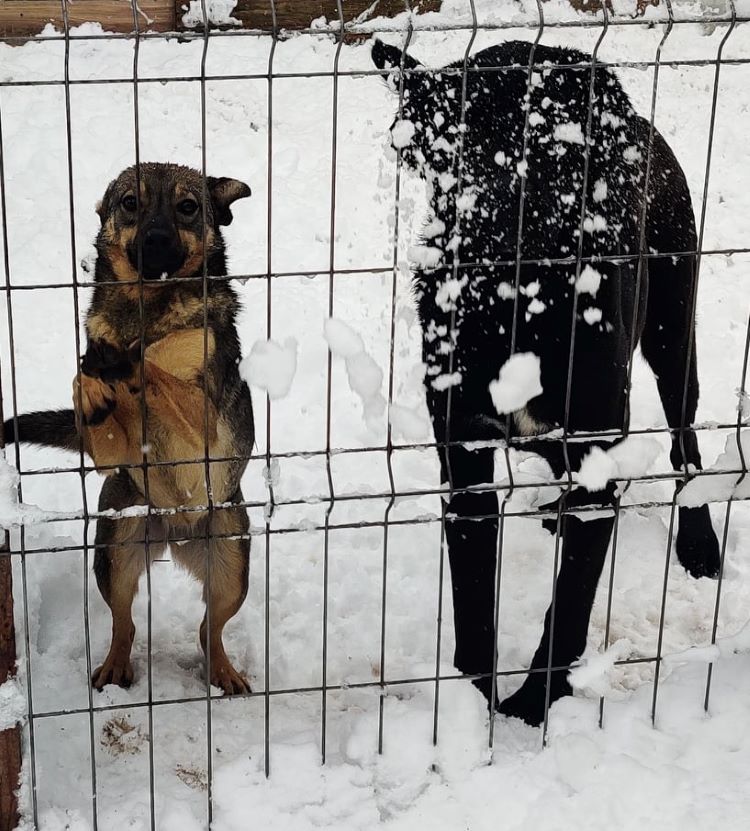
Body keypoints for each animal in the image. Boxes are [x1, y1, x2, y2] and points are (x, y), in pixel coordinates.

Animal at [2, 162, 256, 696]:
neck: (147, 309)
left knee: (210, 629)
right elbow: (85, 386)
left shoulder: (205, 419)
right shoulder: (110, 452)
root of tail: (175, 532)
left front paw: (128, 362)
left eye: (187, 207)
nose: (156, 239)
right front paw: (91, 388)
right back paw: (116, 667)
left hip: (231, 567)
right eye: (130, 203)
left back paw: (224, 673)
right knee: (125, 621)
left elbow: (156, 368)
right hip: (116, 551)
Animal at [376, 40, 724, 728]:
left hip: (673, 329)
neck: (519, 310)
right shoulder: (465, 461)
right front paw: (472, 708)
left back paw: (698, 542)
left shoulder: (595, 456)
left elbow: (570, 608)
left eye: (570, 144)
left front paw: (530, 709)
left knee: (685, 441)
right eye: (472, 145)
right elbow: (473, 600)